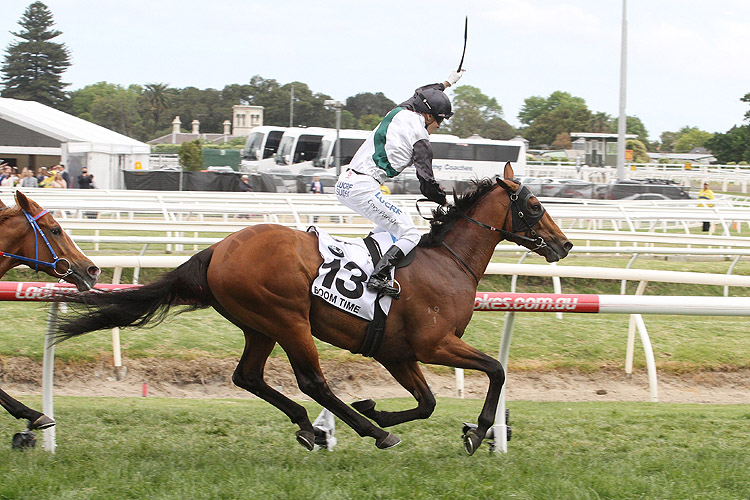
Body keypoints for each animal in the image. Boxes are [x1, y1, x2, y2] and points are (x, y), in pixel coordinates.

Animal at [58, 163, 572, 454]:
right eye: (533, 204)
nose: (564, 244)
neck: (447, 262)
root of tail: (219, 249)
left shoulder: (398, 353)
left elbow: (426, 403)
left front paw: (380, 409)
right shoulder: (432, 344)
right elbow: (495, 370)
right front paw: (478, 430)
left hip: (259, 325)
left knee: (248, 377)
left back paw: (314, 427)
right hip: (288, 319)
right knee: (312, 381)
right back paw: (365, 431)